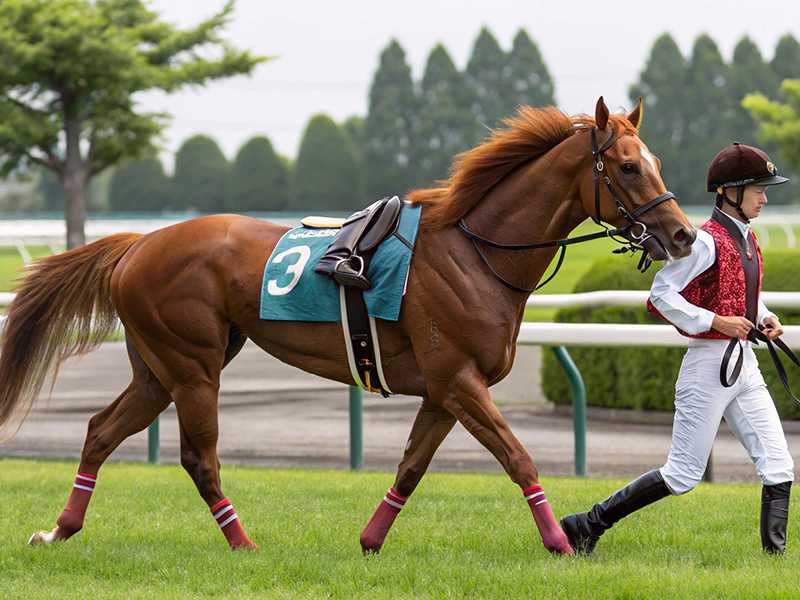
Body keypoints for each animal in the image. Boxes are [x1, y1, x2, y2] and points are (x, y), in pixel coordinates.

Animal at [1, 97, 695, 555]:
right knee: (200, 458)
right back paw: (243, 544)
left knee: (99, 430)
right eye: (628, 166)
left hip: (161, 368)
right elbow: (519, 456)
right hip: (192, 367)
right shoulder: (461, 379)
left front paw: (369, 541)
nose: (683, 235)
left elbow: (411, 468)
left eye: (656, 160)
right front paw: (560, 542)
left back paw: (59, 530)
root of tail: (138, 243)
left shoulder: (443, 390)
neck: (476, 250)